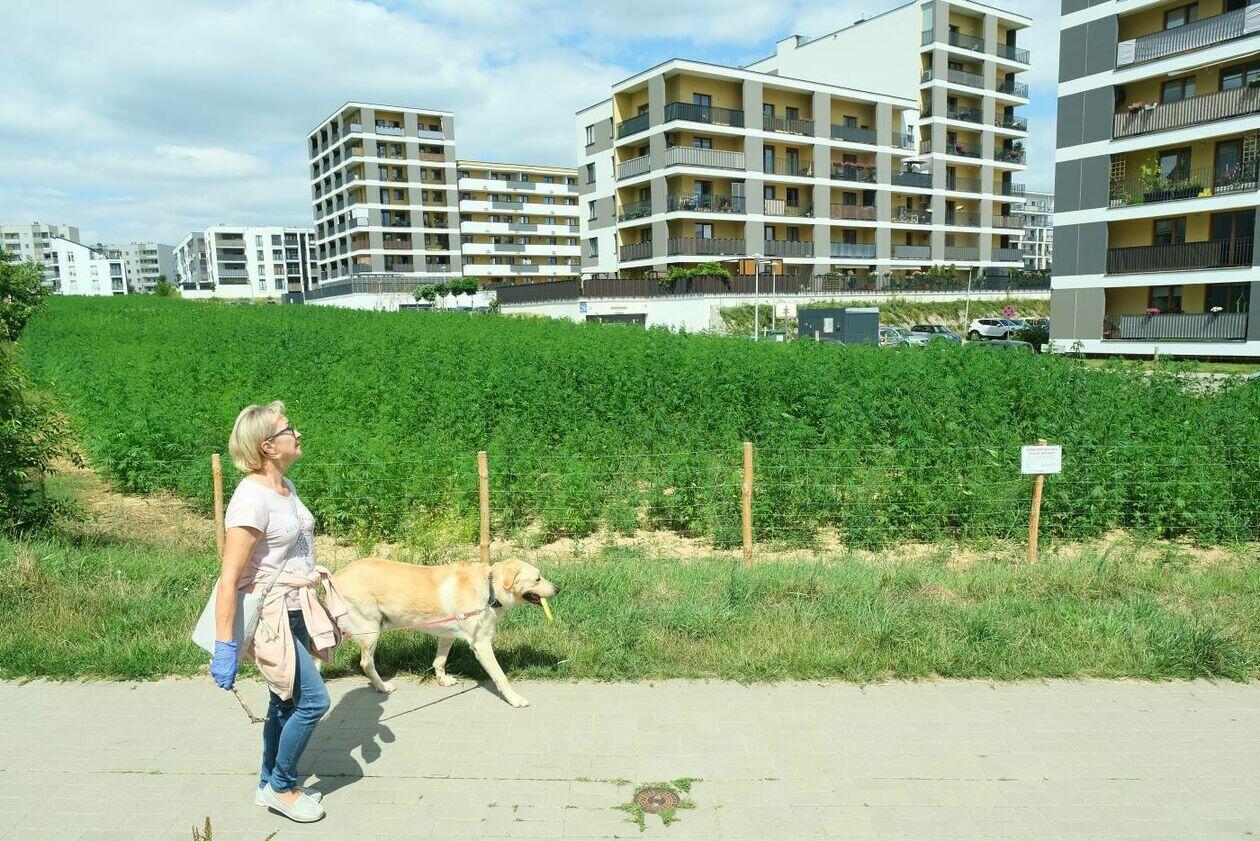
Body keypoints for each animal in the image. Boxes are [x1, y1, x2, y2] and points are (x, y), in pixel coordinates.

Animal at [332, 558, 558, 708]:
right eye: (537, 579)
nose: (558, 589)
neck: (490, 588)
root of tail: (337, 575)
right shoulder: (481, 644)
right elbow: (500, 676)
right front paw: (514, 698)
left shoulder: (447, 635)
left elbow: (439, 661)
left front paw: (442, 680)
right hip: (370, 631)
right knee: (366, 663)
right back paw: (382, 686)